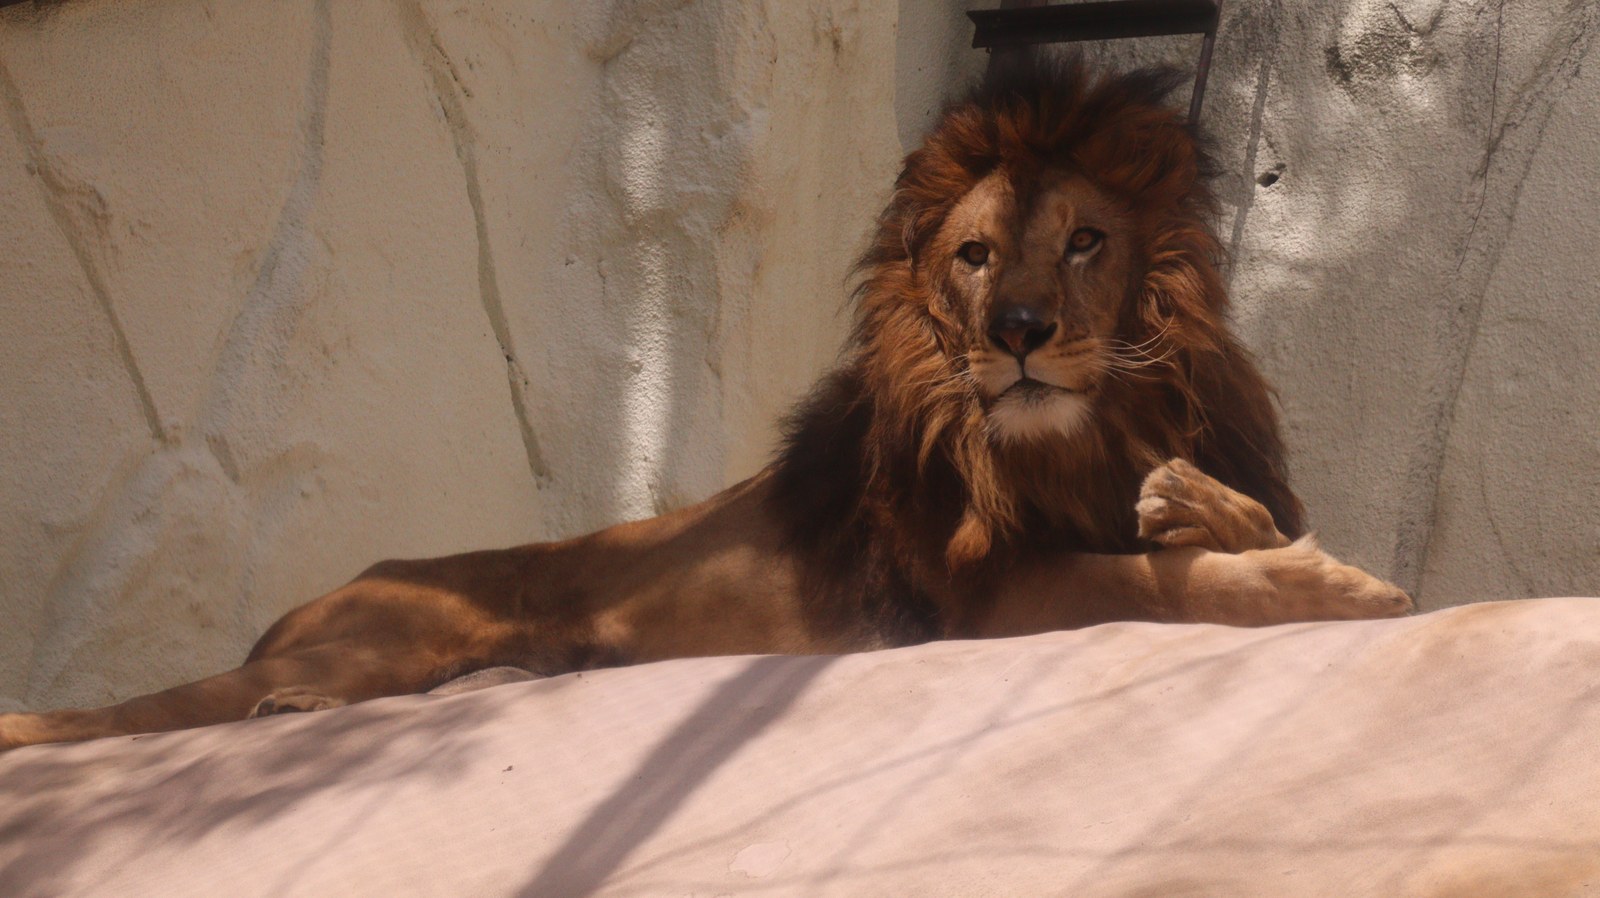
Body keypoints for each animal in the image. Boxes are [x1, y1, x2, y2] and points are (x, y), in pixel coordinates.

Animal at [0, 57, 1409, 751]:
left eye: (1084, 245)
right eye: (973, 254)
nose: (1019, 337)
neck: (1072, 437)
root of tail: (305, 606)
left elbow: (1214, 522)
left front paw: (1241, 522)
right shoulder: (991, 599)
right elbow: (1168, 582)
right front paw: (1328, 584)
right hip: (360, 644)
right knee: (114, 716)